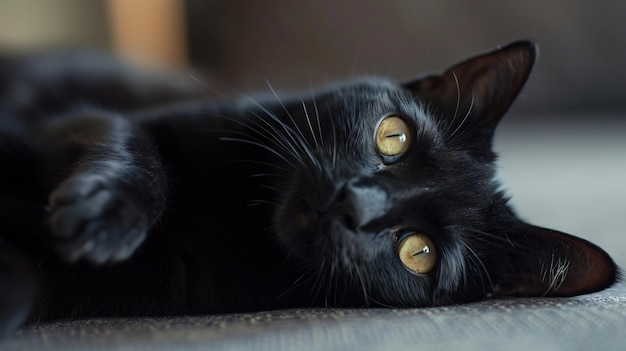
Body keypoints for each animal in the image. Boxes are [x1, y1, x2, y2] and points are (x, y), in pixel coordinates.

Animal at [0, 40, 616, 336]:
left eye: (419, 252)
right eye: (394, 136)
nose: (352, 203)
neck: (238, 213)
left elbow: (22, 291)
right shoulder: (83, 122)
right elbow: (135, 148)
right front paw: (104, 216)